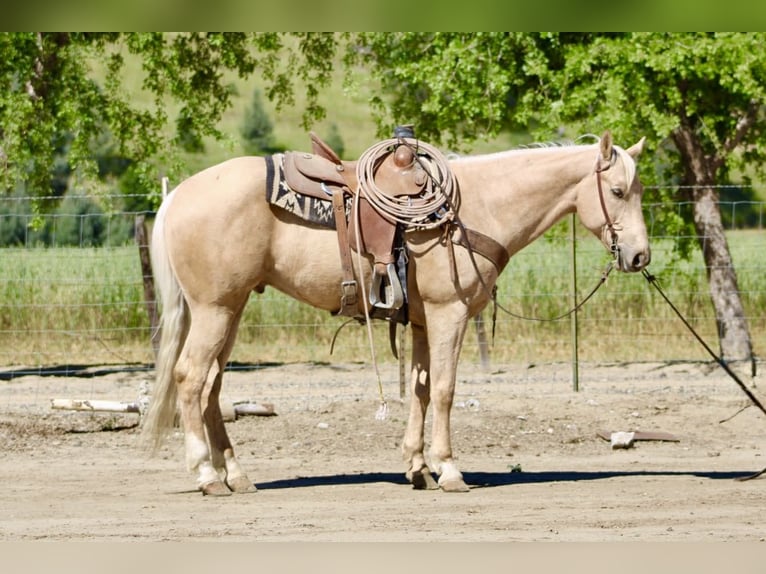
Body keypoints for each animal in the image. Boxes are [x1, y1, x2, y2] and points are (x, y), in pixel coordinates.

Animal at [141, 130, 650, 495]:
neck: (478, 206)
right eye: (618, 190)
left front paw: (417, 468)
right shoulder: (450, 314)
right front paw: (449, 471)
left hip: (230, 308)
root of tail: (178, 195)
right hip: (215, 309)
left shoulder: (424, 322)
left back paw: (237, 476)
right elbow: (444, 390)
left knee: (211, 386)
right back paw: (207, 475)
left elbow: (421, 391)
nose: (640, 256)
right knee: (190, 378)